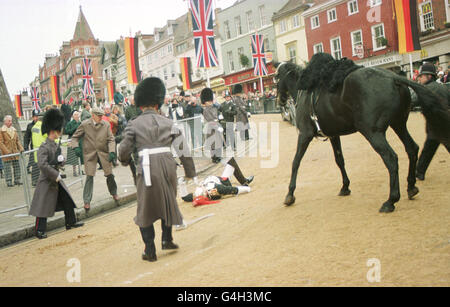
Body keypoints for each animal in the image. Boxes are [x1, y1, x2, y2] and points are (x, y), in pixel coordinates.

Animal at [276, 53, 448, 213]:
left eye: (276, 78)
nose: (280, 101)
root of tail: (392, 77)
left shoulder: (305, 135)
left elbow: (296, 162)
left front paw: (290, 194)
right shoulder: (334, 135)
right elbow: (339, 160)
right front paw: (345, 186)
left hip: (372, 132)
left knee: (391, 158)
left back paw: (391, 200)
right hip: (398, 124)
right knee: (412, 149)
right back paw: (411, 186)